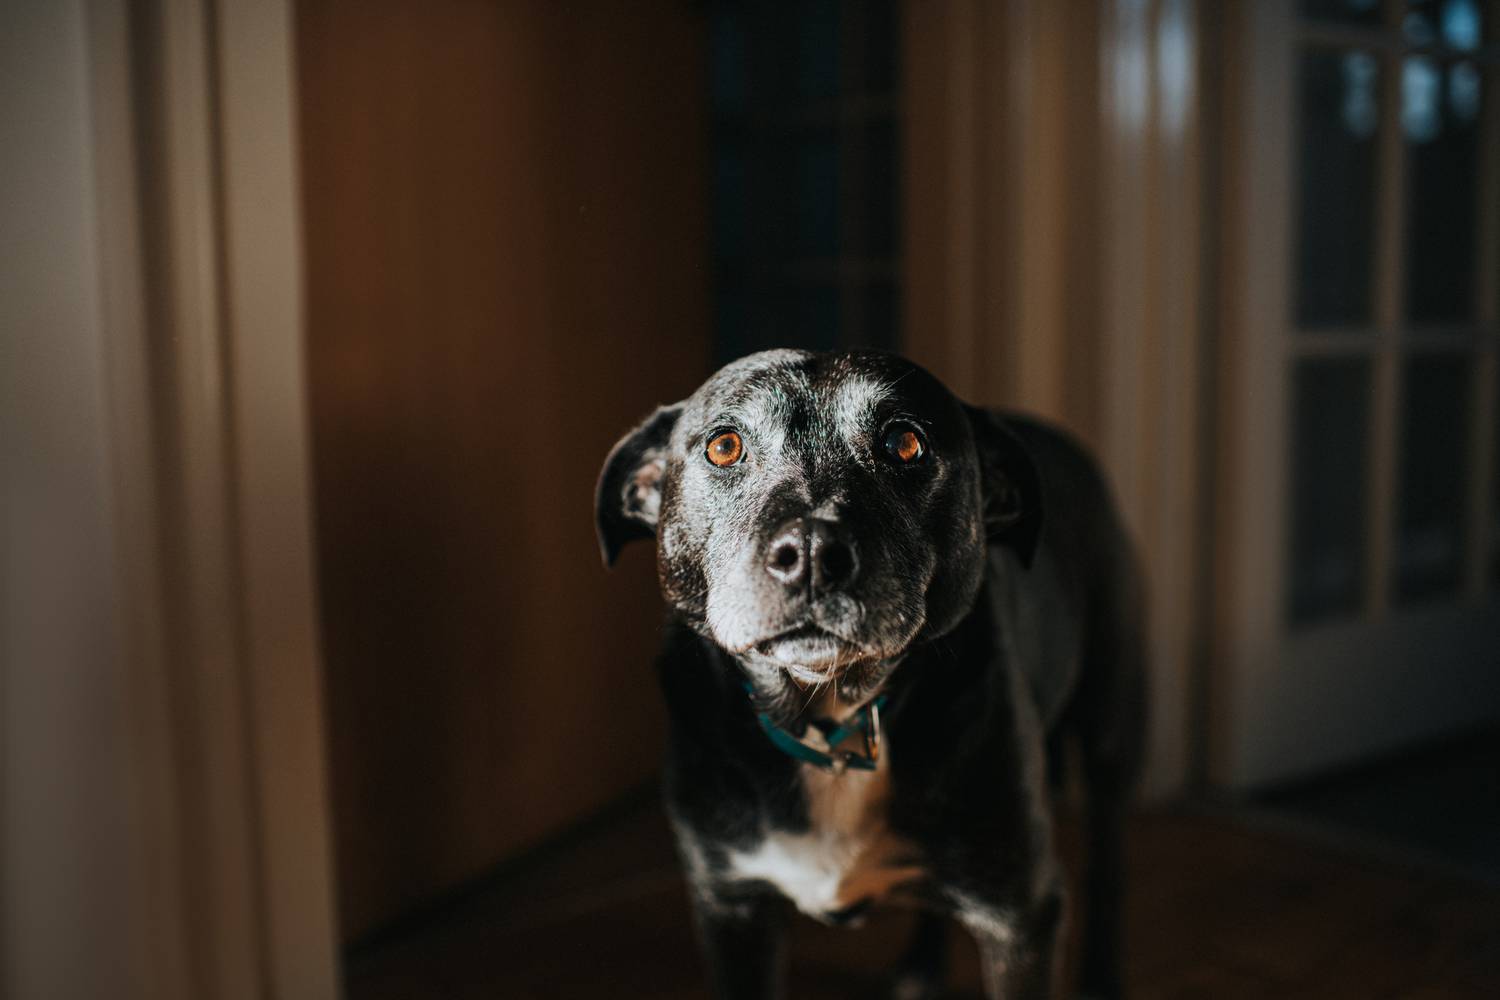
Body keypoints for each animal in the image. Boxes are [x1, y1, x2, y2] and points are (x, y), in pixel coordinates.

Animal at [597, 352, 1146, 1000]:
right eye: (725, 446)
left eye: (905, 444)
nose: (810, 551)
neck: (832, 719)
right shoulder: (731, 907)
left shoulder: (1020, 918)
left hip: (1111, 729)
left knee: (1109, 864)